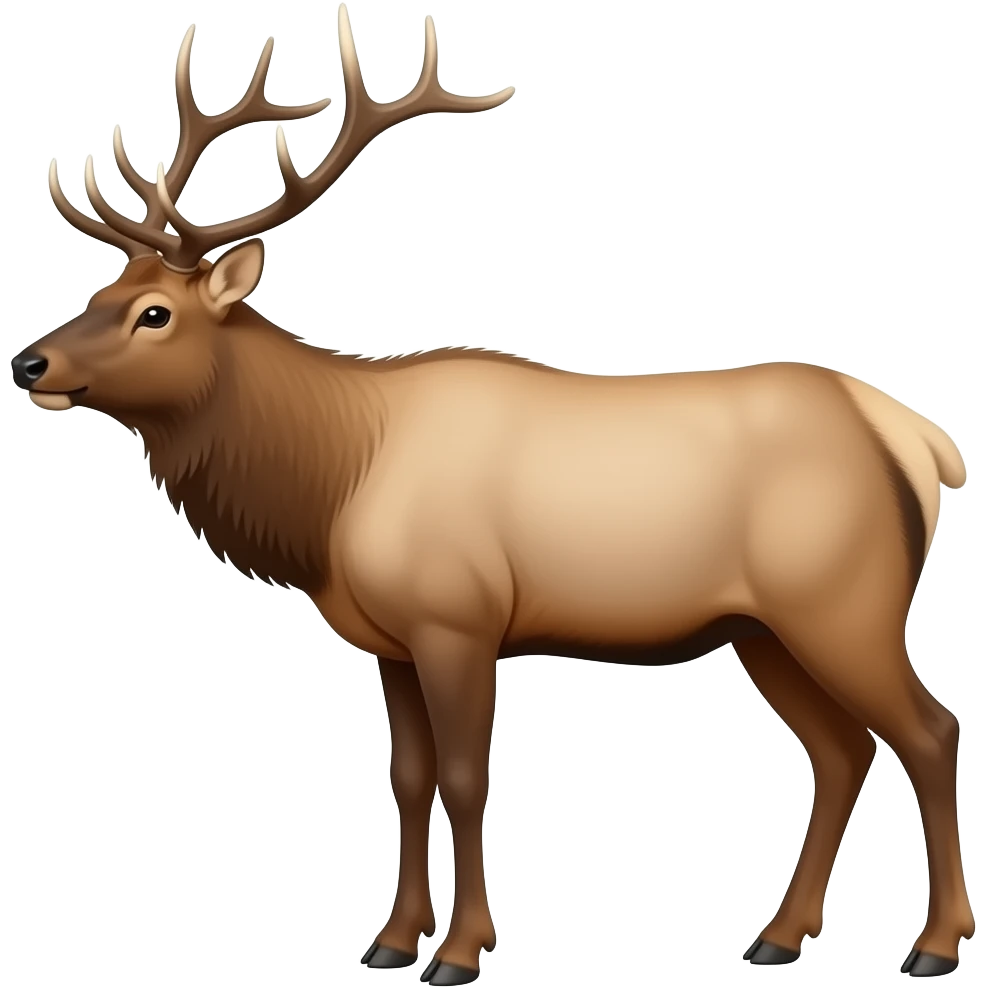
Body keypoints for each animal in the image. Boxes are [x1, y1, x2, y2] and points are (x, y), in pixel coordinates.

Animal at [11, 5, 975, 985]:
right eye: (101, 289)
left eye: (155, 314)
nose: (29, 362)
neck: (333, 487)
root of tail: (919, 440)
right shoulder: (390, 641)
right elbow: (407, 780)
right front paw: (391, 940)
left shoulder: (460, 619)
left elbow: (468, 780)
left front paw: (461, 950)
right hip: (765, 629)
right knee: (843, 750)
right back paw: (779, 933)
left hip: (844, 604)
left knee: (930, 731)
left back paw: (934, 945)